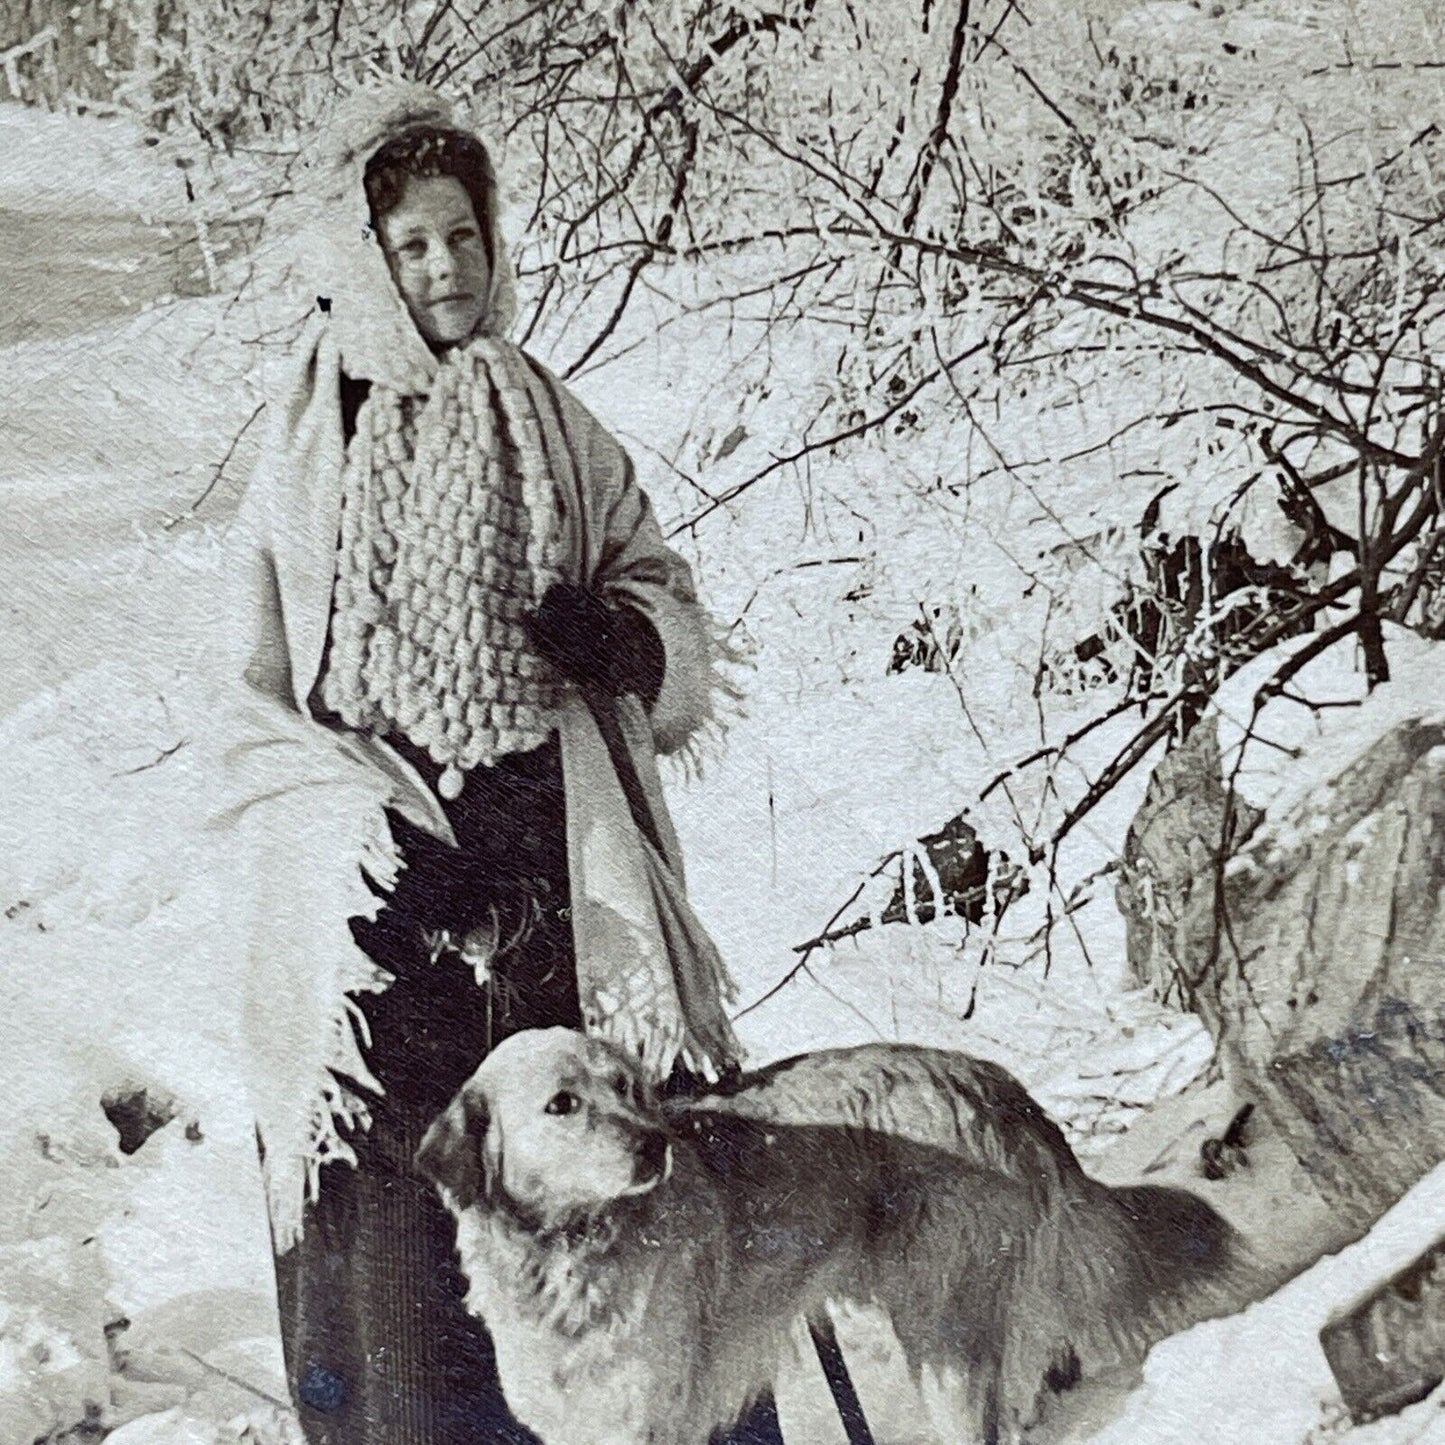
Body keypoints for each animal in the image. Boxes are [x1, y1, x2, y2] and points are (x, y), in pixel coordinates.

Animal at [413, 1028, 1260, 1445]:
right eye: (563, 1102)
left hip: (942, 1336)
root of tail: (993, 1081)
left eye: (626, 1088)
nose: (654, 1145)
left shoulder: (646, 1418)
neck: (568, 1254)